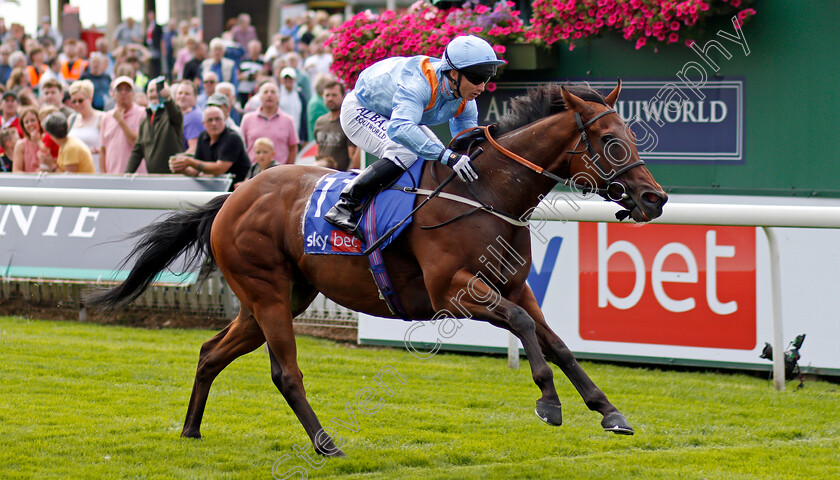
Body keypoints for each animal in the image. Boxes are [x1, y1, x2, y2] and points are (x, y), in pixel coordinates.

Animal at [88, 80, 668, 456]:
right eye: (611, 142)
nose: (655, 198)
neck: (485, 193)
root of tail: (235, 194)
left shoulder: (515, 286)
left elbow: (557, 341)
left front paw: (608, 410)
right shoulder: (453, 292)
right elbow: (528, 330)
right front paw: (549, 403)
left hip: (273, 299)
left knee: (211, 353)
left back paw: (190, 430)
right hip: (267, 292)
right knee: (285, 372)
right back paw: (327, 444)